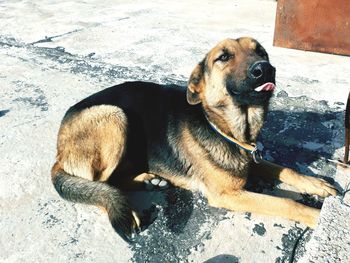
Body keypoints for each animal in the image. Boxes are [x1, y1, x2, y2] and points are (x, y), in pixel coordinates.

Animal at [50, 36, 338, 241]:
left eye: (261, 52)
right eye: (223, 57)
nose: (265, 69)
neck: (222, 127)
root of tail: (59, 151)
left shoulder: (251, 158)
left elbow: (286, 169)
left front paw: (316, 184)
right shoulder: (227, 194)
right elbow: (287, 202)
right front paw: (317, 216)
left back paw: (149, 181)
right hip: (113, 115)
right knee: (100, 184)